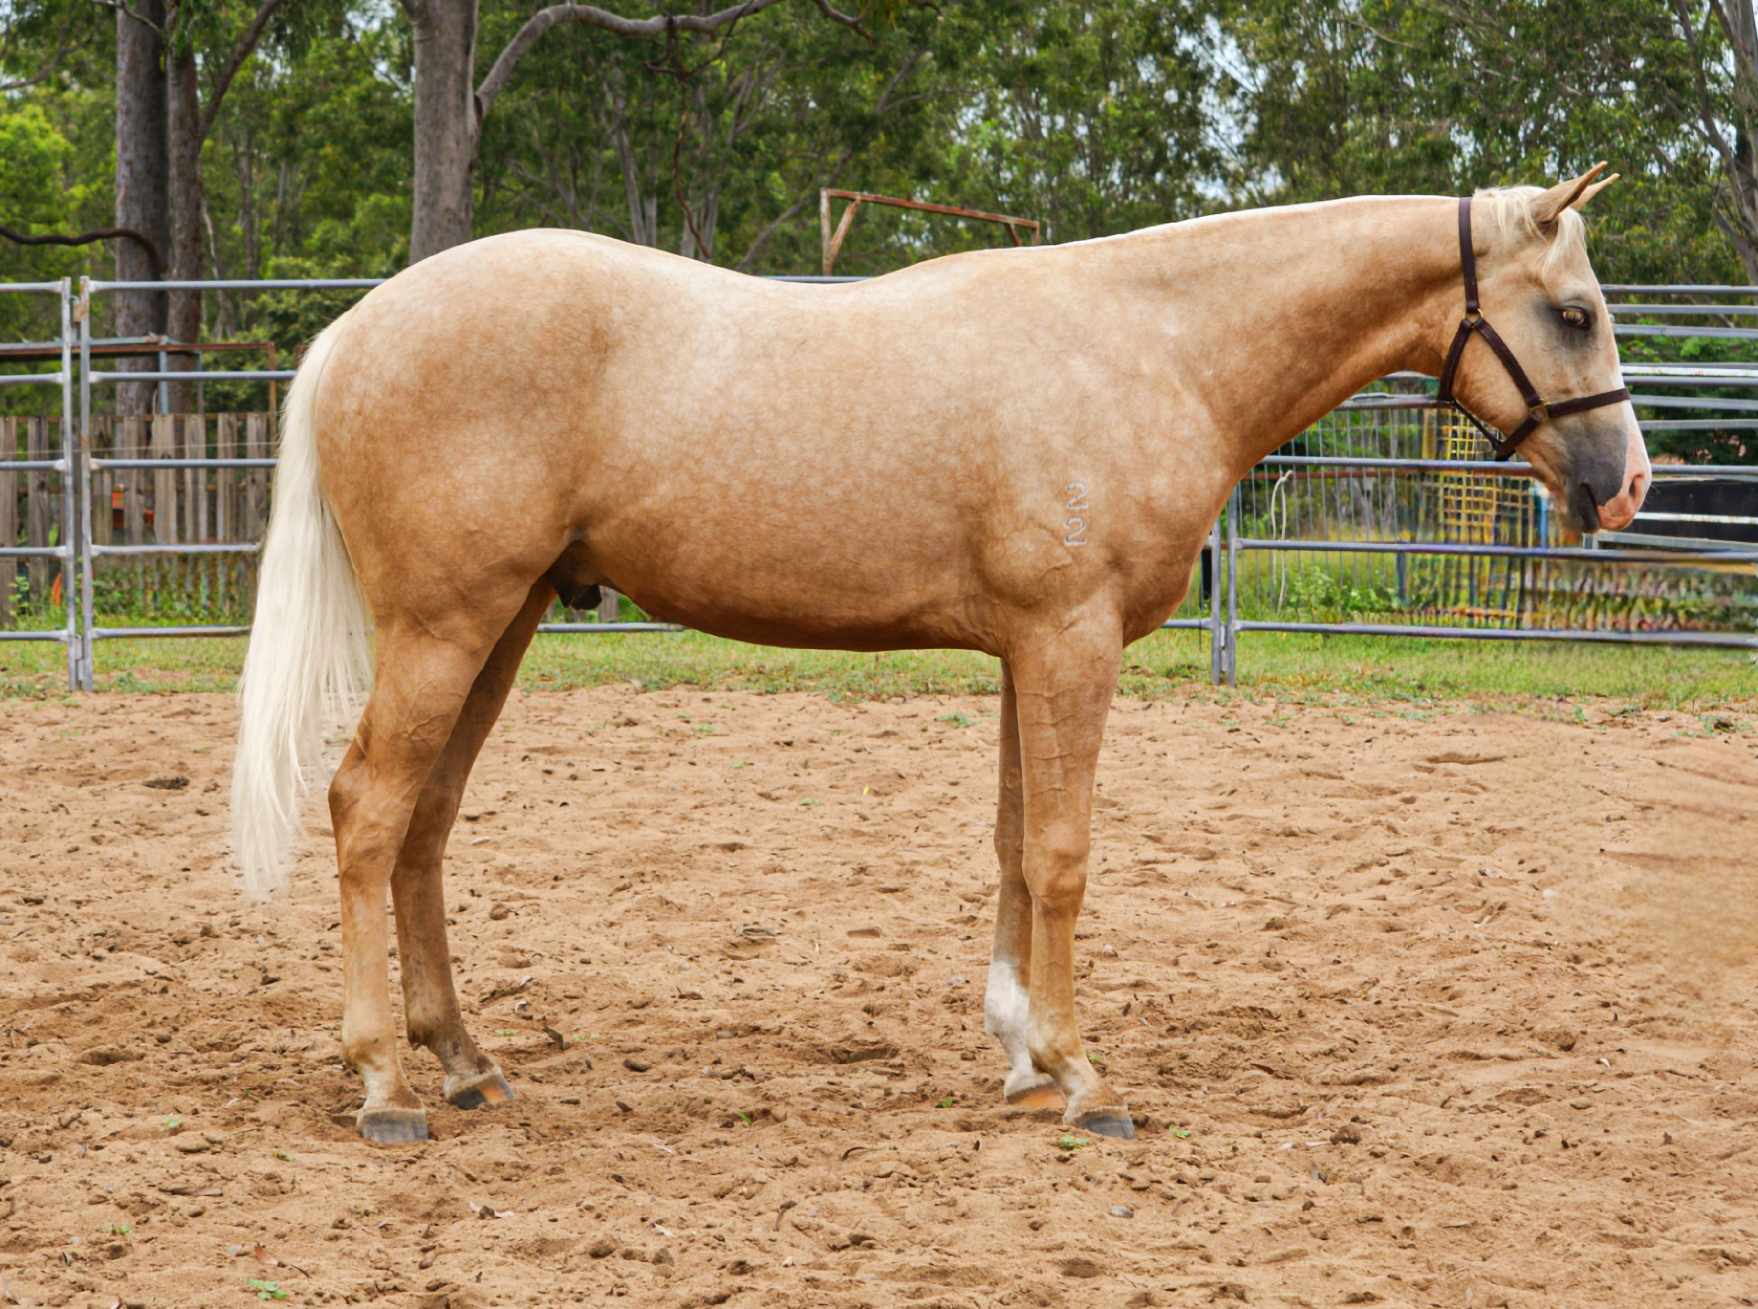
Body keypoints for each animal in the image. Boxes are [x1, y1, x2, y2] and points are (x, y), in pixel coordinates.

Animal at [232, 165, 1649, 1144]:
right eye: (1576, 312)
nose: (1627, 485)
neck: (1150, 348)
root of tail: (354, 334)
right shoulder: (1072, 640)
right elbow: (1065, 854)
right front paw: (1082, 1076)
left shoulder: (1031, 648)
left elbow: (1016, 847)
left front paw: (1022, 1055)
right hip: (447, 627)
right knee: (366, 810)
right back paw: (384, 1082)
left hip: (504, 622)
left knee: (424, 826)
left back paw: (465, 1062)